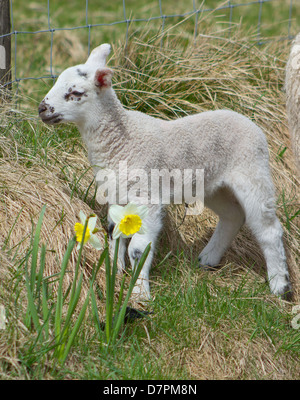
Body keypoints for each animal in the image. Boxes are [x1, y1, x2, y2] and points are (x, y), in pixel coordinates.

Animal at [38, 43, 292, 300]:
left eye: (75, 92)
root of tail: (248, 121)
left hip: (252, 170)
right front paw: (114, 273)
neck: (122, 139)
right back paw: (207, 260)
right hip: (212, 185)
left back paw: (280, 286)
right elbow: (114, 234)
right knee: (233, 215)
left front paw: (140, 292)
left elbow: (138, 248)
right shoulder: (116, 194)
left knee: (268, 228)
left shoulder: (147, 196)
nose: (42, 109)